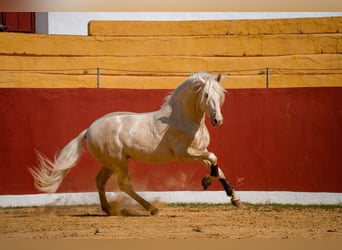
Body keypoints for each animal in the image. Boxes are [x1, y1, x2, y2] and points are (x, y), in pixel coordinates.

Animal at [29, 72, 240, 215]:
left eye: (220, 95)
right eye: (206, 95)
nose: (217, 120)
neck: (182, 118)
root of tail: (89, 130)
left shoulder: (199, 150)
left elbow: (217, 167)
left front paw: (234, 198)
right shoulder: (184, 154)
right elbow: (214, 158)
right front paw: (206, 182)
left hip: (110, 163)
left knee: (100, 181)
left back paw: (108, 209)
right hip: (119, 163)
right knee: (124, 185)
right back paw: (153, 209)